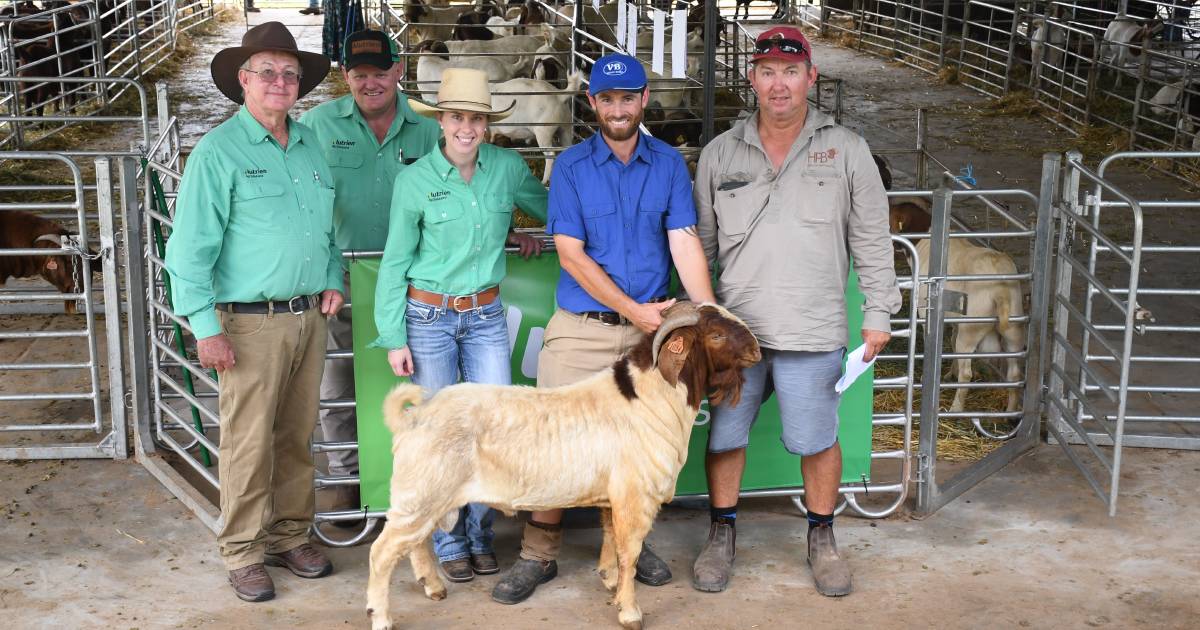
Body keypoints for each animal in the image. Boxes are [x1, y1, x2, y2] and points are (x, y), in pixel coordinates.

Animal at [362, 302, 758, 624]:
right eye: (717, 335)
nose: (756, 349)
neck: (651, 398)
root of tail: (413, 418)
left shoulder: (612, 497)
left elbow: (611, 540)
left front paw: (610, 583)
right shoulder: (635, 497)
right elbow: (629, 552)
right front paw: (630, 612)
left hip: (427, 497)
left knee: (416, 543)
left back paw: (433, 588)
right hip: (422, 493)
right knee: (382, 552)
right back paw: (381, 616)